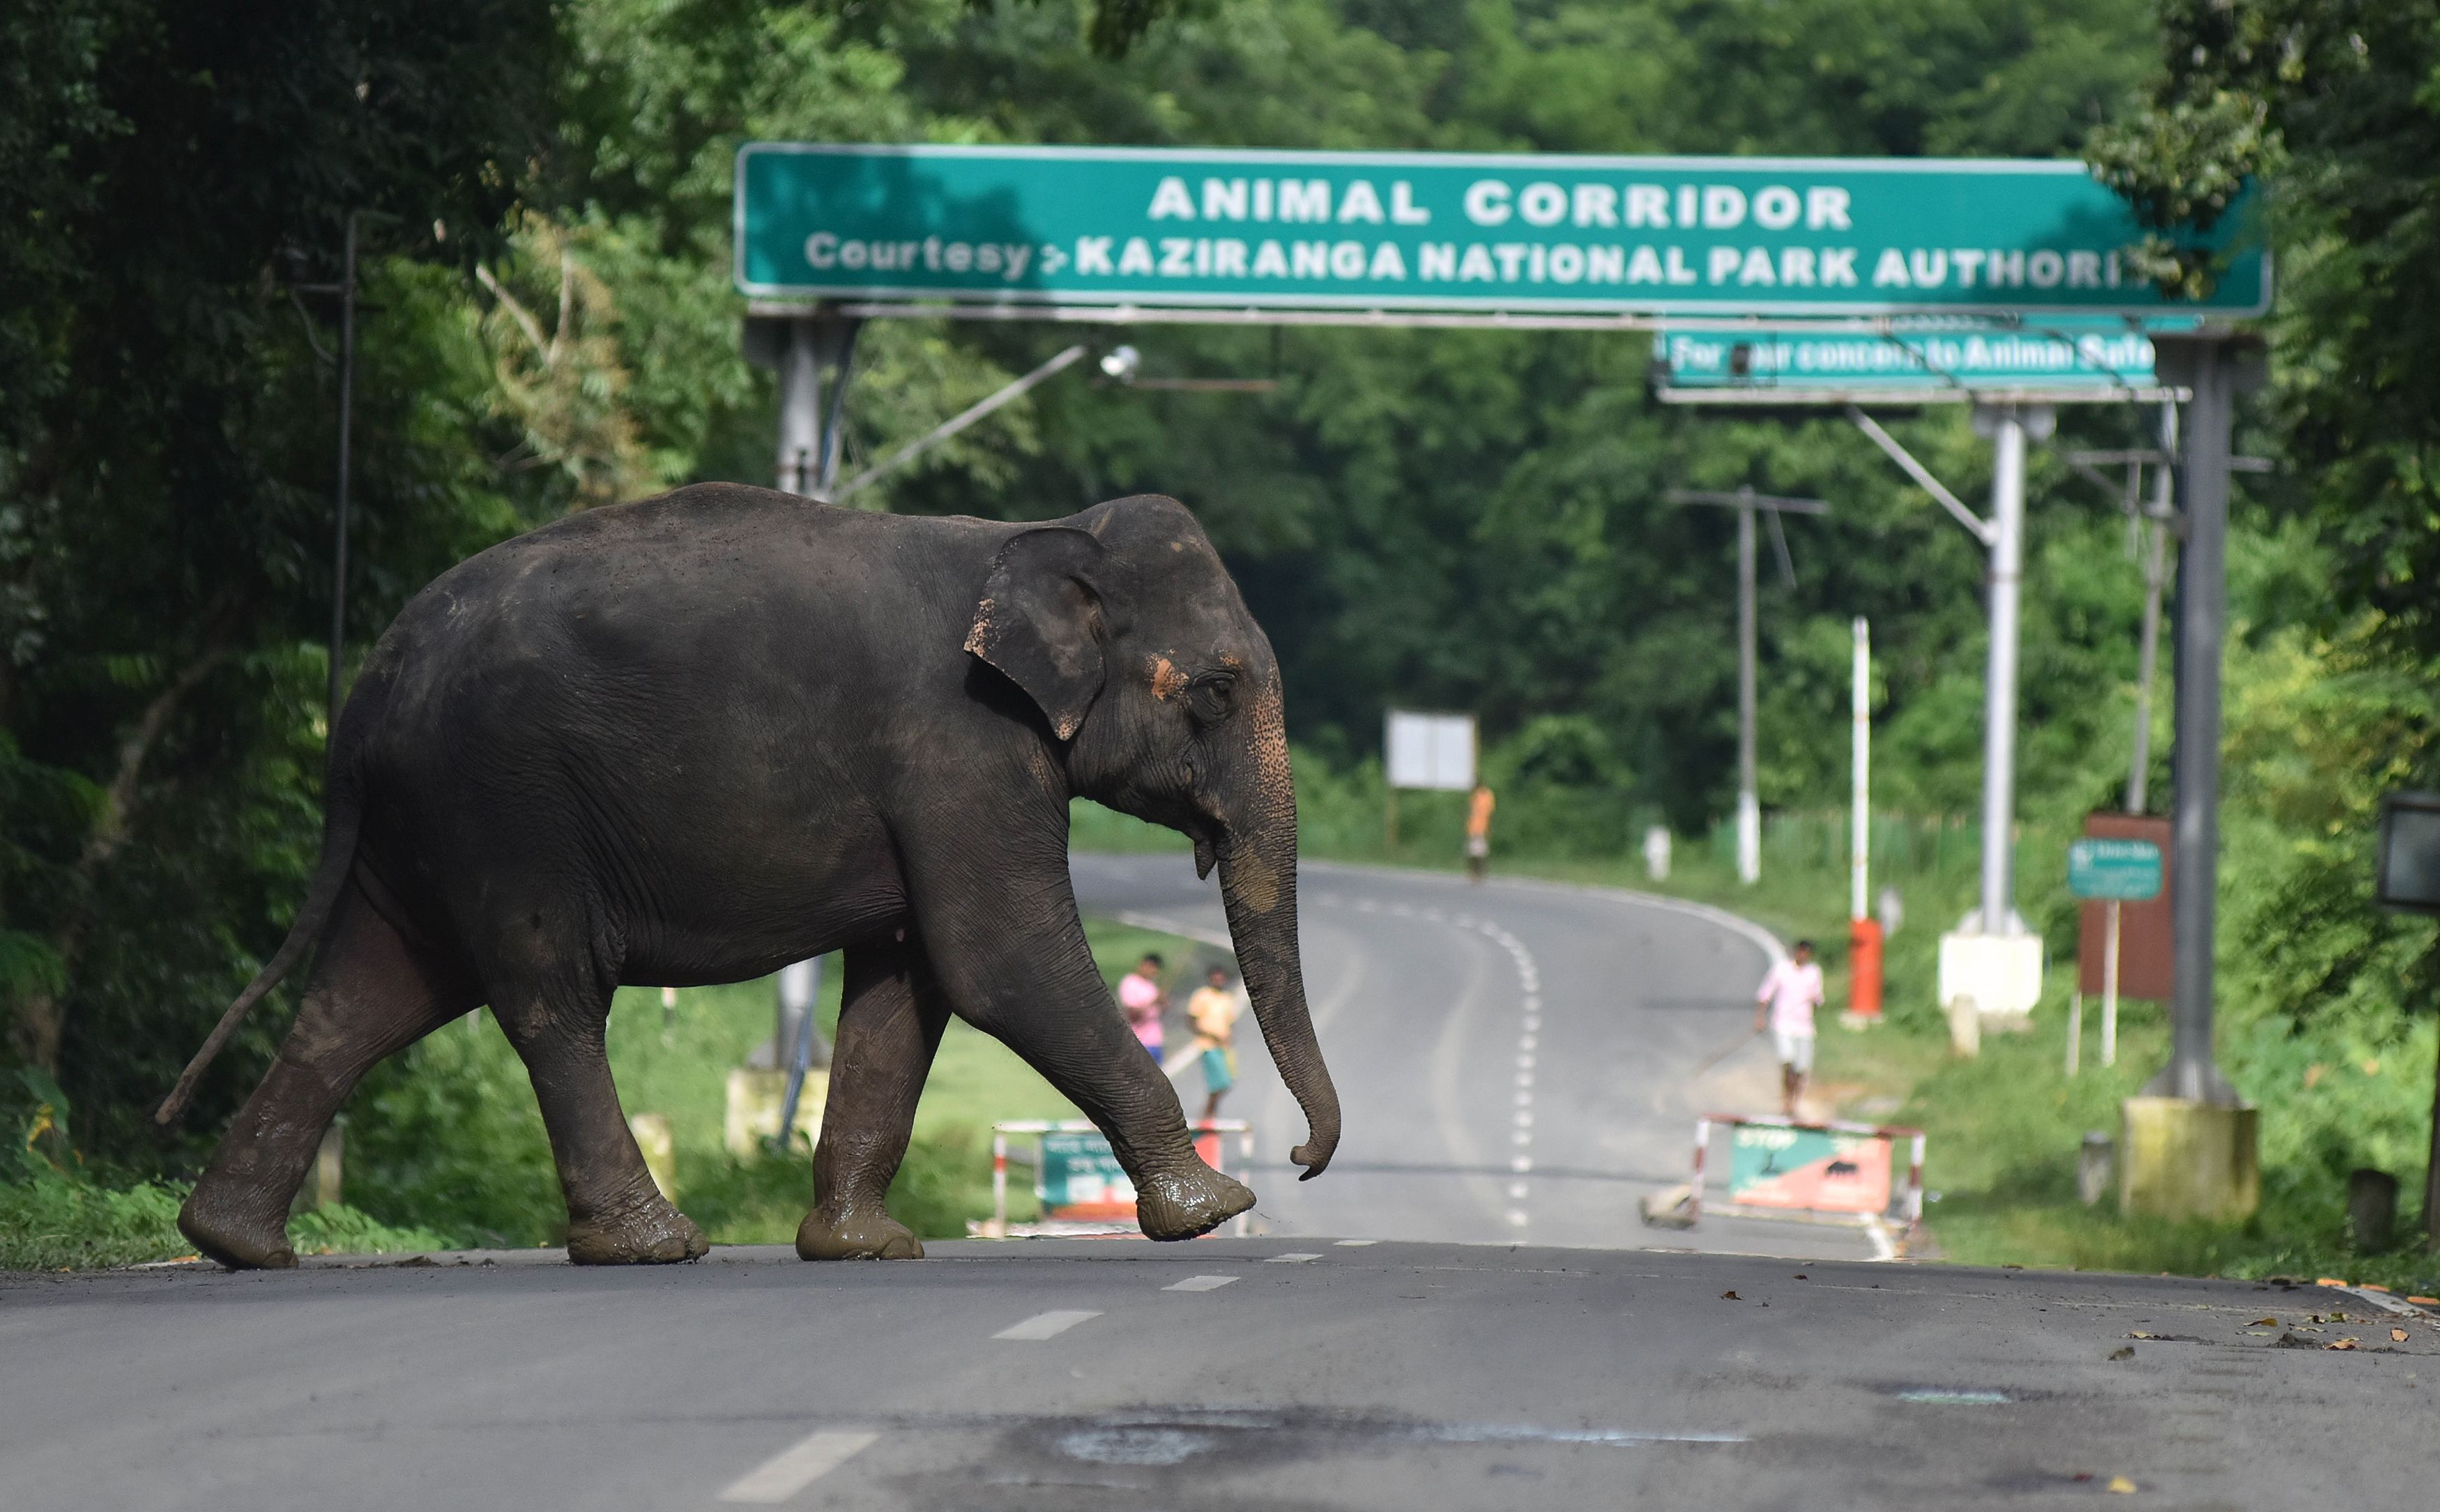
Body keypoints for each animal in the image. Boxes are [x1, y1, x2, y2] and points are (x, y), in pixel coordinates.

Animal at [157, 486, 1340, 1269]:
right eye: (1217, 691)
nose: (1299, 1156)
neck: (1038, 534)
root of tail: (367, 689)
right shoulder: (961, 747)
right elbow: (1001, 960)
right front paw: (1215, 1207)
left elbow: (911, 978)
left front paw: (862, 1246)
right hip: (503, 802)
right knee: (547, 993)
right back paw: (654, 1244)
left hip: (429, 818)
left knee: (368, 997)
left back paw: (234, 1242)